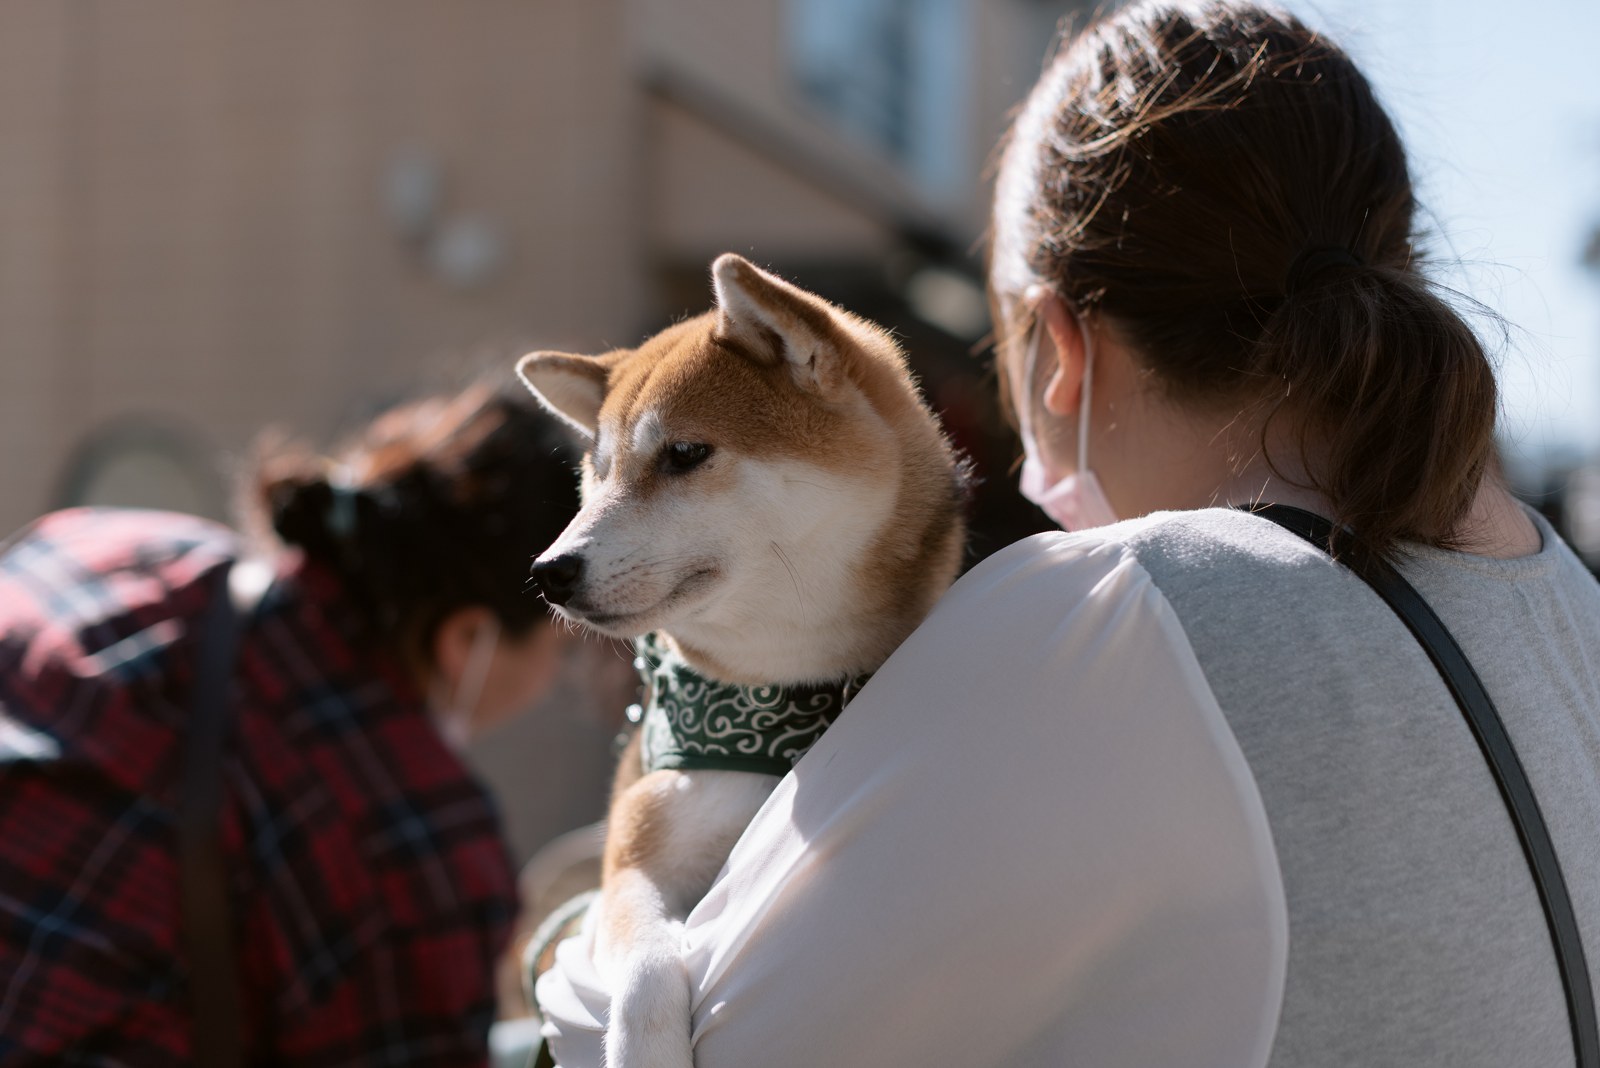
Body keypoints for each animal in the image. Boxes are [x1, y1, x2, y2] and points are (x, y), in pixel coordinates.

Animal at [518, 254, 960, 1061]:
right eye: (597, 473)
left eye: (685, 454)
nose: (549, 570)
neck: (777, 702)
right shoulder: (637, 852)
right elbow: (647, 966)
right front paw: (647, 1051)